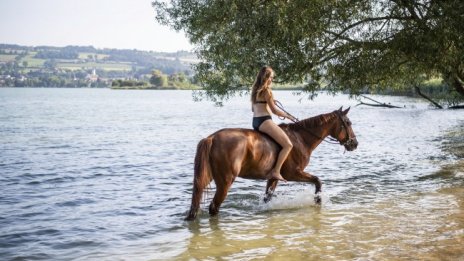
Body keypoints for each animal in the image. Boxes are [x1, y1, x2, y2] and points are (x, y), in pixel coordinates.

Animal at [186, 106, 358, 219]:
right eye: (348, 123)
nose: (354, 144)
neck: (300, 138)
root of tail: (212, 138)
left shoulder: (274, 177)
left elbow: (267, 197)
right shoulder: (293, 173)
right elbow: (318, 181)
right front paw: (318, 200)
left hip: (207, 177)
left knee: (196, 202)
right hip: (225, 181)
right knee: (214, 207)